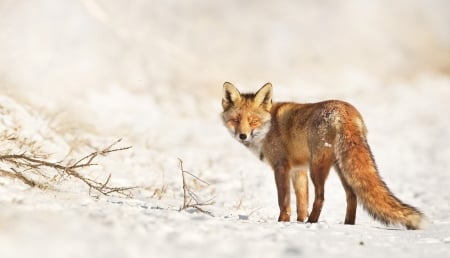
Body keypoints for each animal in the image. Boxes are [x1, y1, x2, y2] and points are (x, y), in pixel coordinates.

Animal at [221, 82, 426, 230]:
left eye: (253, 121)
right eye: (235, 120)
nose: (242, 136)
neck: (269, 127)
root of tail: (345, 110)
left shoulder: (281, 167)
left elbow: (284, 201)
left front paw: (283, 222)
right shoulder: (298, 170)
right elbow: (301, 202)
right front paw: (298, 222)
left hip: (317, 167)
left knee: (321, 197)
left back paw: (313, 222)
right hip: (340, 168)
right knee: (352, 196)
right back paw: (347, 225)